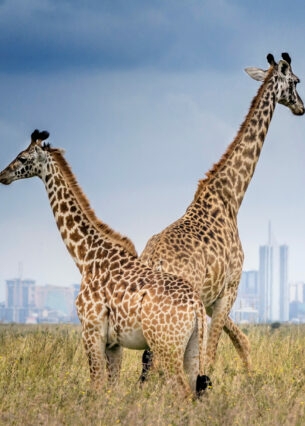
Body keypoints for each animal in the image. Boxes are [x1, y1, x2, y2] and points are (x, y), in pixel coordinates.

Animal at [0, 130, 210, 400]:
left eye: (22, 157)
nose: (3, 175)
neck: (87, 258)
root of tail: (197, 307)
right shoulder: (114, 342)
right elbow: (111, 388)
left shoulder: (91, 331)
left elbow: (97, 385)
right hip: (193, 347)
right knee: (196, 392)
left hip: (166, 346)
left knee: (182, 391)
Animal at [139, 52, 302, 376]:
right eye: (296, 81)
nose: (302, 107)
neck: (231, 198)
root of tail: (155, 262)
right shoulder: (230, 289)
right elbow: (211, 355)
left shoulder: (214, 298)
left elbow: (241, 342)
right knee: (163, 362)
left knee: (148, 361)